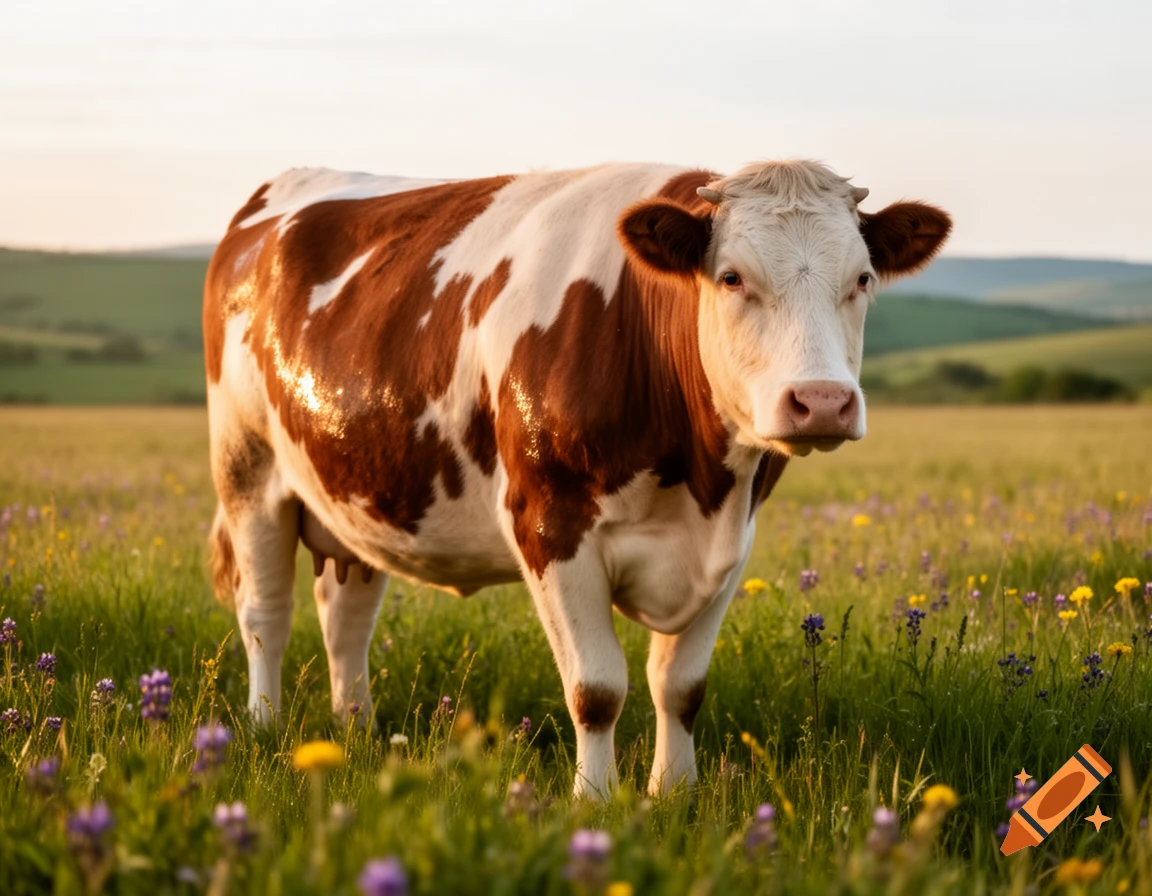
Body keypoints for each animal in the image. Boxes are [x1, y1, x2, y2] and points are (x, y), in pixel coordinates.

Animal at [203, 160, 950, 797]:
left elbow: (681, 685)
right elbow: (597, 688)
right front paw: (594, 800)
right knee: (266, 612)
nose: (821, 401)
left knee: (345, 616)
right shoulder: (550, 522)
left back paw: (353, 728)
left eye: (862, 279)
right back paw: (265, 728)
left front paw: (675, 794)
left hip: (362, 489)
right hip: (247, 470)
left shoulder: (732, 541)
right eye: (733, 277)